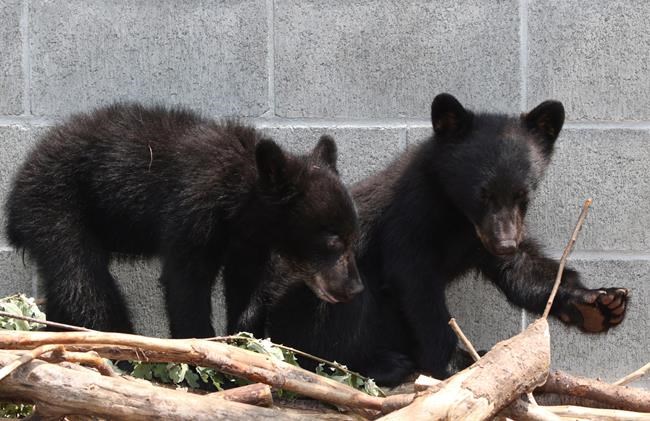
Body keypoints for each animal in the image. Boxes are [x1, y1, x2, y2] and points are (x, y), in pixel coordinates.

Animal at [5, 102, 363, 338]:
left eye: (353, 238)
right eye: (332, 242)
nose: (355, 287)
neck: (239, 200)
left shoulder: (249, 242)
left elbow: (248, 287)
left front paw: (246, 341)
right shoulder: (193, 211)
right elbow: (186, 281)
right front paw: (203, 353)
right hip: (56, 204)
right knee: (81, 278)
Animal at [237, 93, 629, 386]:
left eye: (523, 194)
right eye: (481, 193)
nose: (505, 243)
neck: (458, 215)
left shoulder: (486, 234)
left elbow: (523, 271)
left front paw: (600, 305)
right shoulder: (409, 215)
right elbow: (417, 286)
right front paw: (456, 361)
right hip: (317, 296)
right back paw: (385, 364)